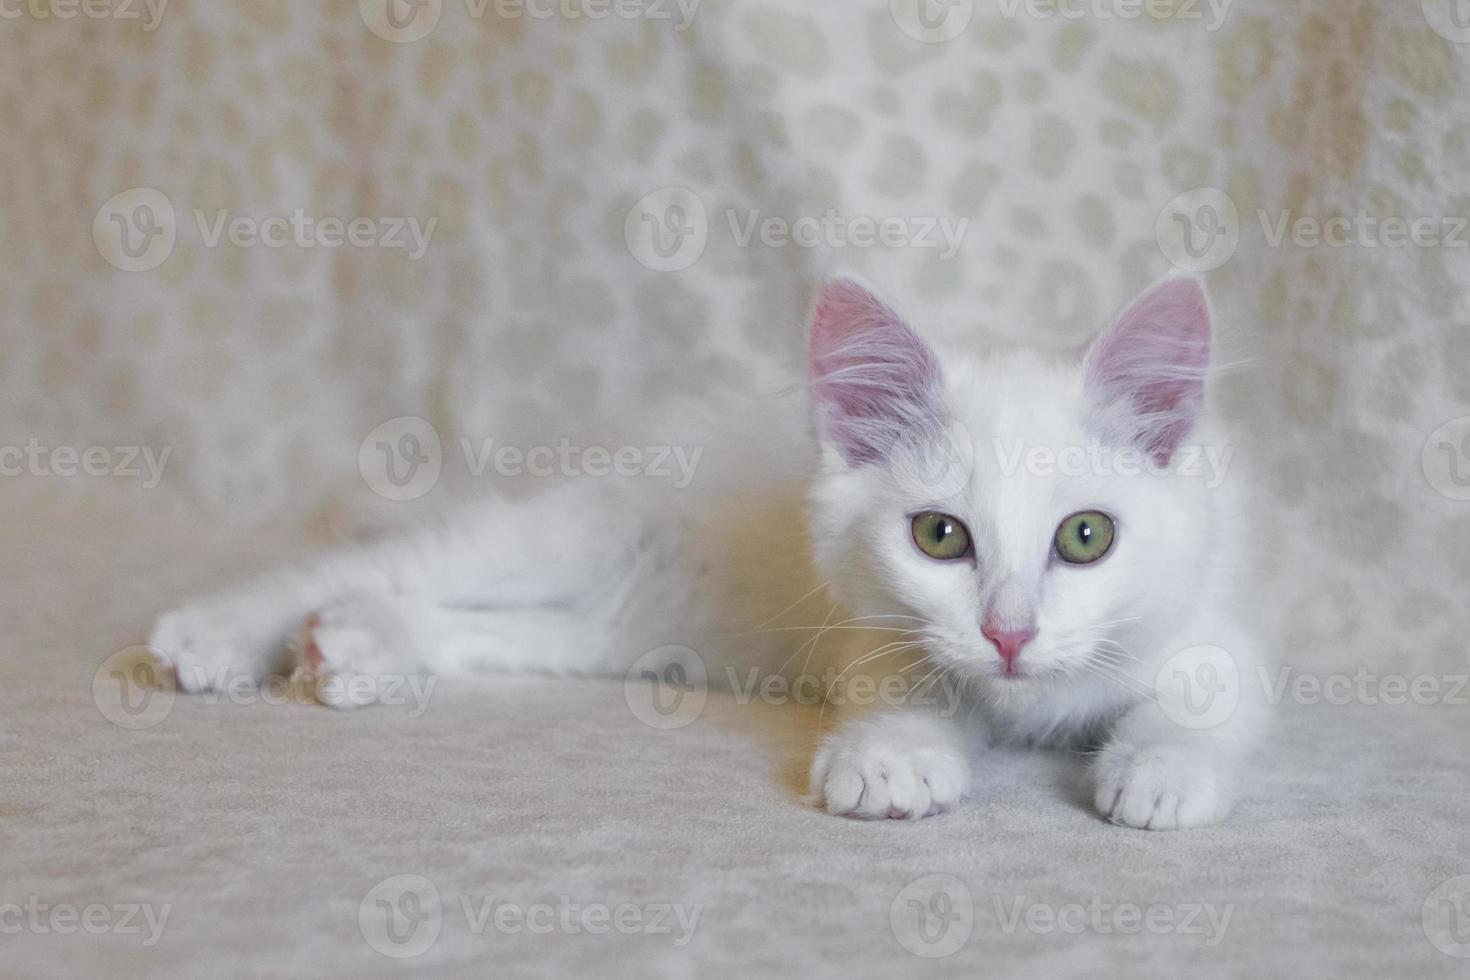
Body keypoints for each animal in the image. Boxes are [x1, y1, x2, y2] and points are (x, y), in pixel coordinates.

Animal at [155, 274, 1270, 828]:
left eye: (1086, 536)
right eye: (940, 536)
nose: (1008, 633)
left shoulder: (1219, 626)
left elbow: (1205, 698)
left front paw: (1163, 768)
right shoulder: (871, 626)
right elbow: (904, 682)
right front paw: (894, 756)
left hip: (625, 629)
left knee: (490, 626)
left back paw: (356, 647)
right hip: (561, 533)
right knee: (387, 565)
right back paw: (218, 633)